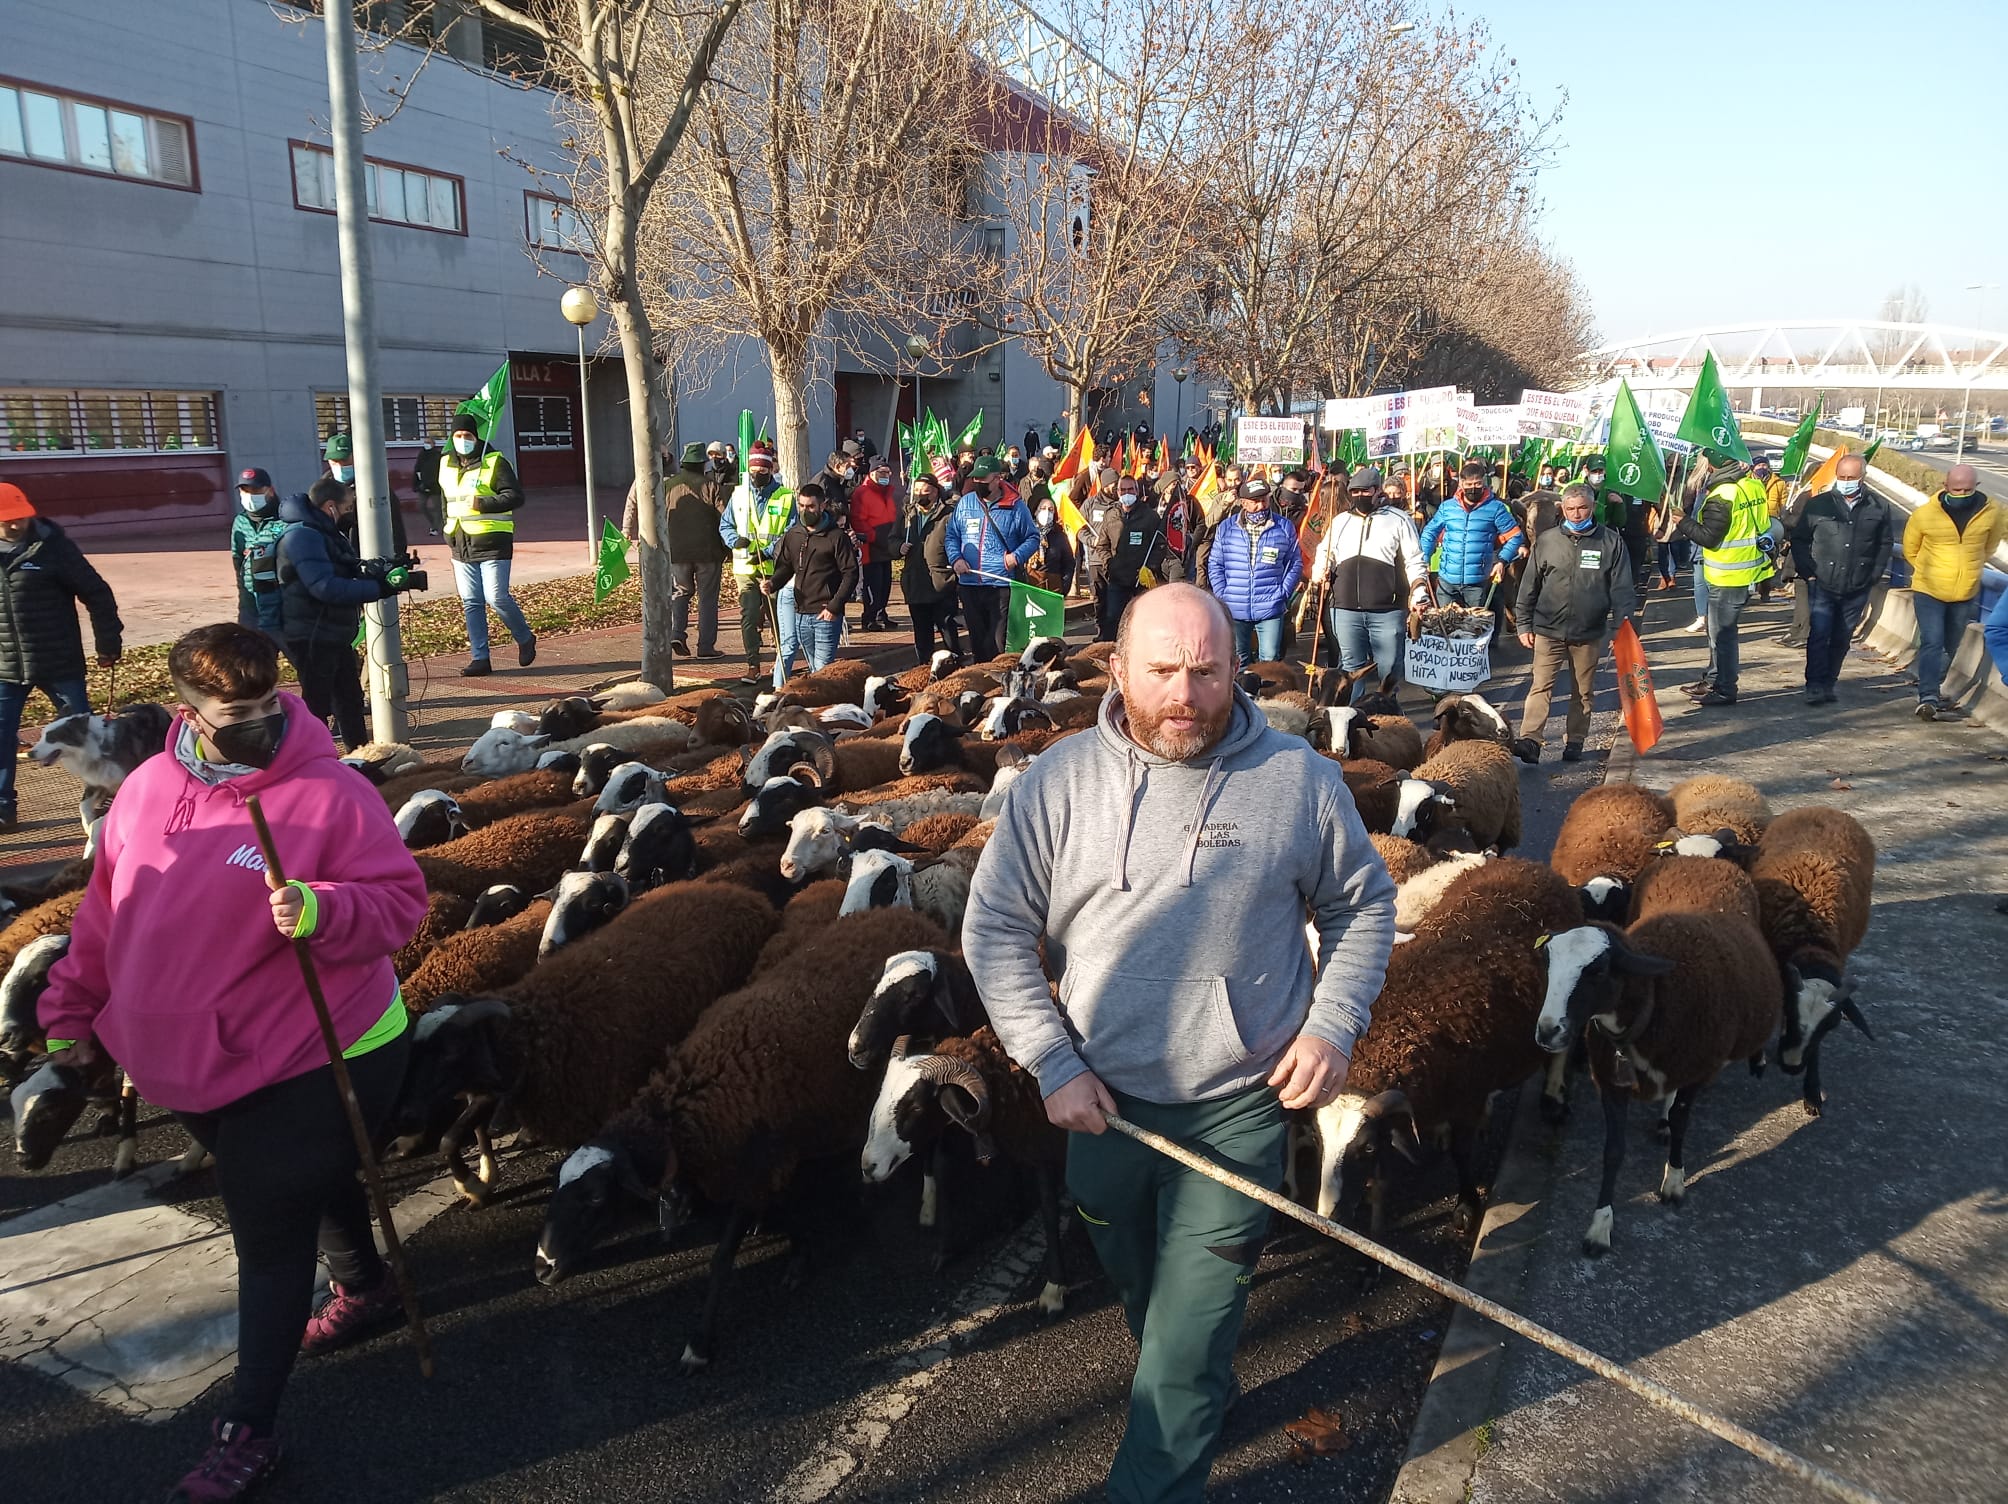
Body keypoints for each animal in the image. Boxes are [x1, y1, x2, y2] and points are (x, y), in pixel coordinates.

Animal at [28, 702, 172, 831]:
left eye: (51, 738)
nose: (30, 753)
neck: (96, 749)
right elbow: (83, 805)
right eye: (42, 735)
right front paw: (88, 825)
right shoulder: (96, 781)